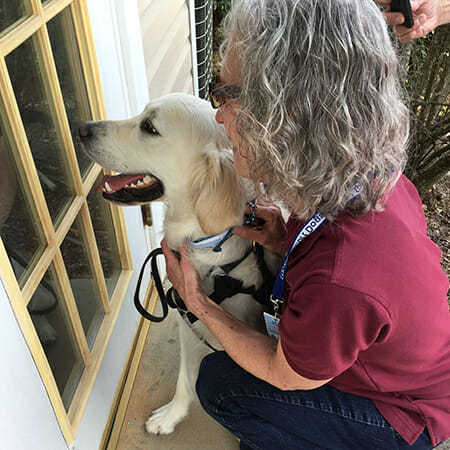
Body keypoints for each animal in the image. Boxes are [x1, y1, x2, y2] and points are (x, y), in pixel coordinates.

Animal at [79, 94, 274, 436]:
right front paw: (172, 415)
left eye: (149, 127)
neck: (206, 246)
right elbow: (184, 379)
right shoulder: (188, 315)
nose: (81, 128)